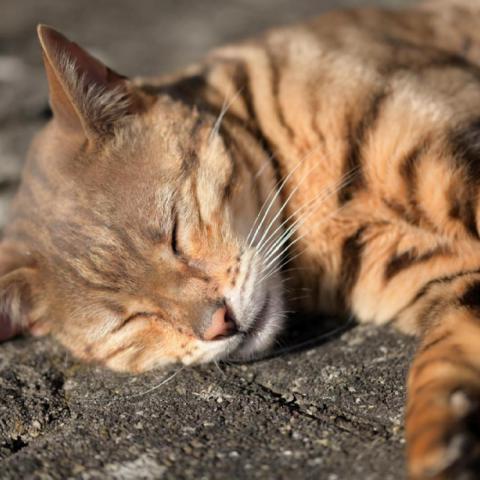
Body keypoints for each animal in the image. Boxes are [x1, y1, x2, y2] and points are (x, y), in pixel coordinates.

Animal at [3, 0, 480, 478]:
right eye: (132, 319)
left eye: (174, 235)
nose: (219, 324)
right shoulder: (447, 285)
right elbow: (440, 372)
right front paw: (441, 455)